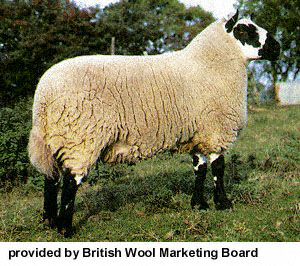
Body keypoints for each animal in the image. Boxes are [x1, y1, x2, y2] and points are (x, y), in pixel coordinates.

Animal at [27, 9, 280, 236]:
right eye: (244, 30)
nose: (277, 48)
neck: (208, 64)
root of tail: (44, 93)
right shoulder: (215, 130)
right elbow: (218, 167)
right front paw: (223, 203)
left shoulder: (198, 133)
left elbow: (199, 168)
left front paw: (199, 204)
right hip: (80, 137)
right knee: (71, 182)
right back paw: (65, 229)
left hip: (54, 138)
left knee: (50, 178)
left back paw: (49, 221)